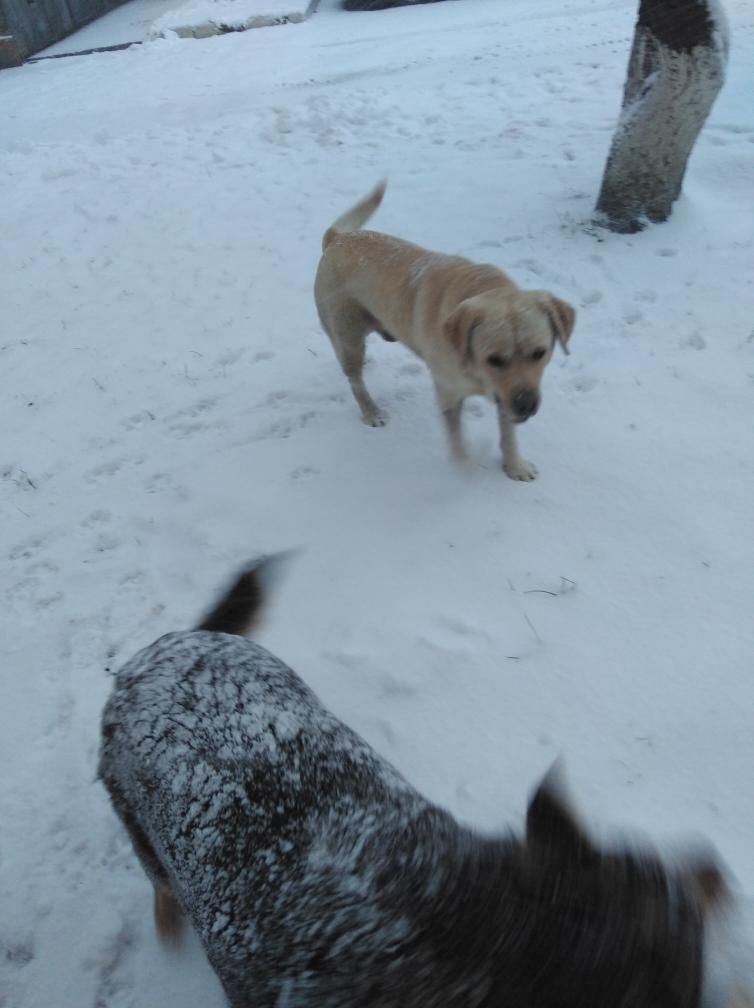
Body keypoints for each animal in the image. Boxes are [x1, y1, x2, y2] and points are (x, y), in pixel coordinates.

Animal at [314, 183, 572, 481]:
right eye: (494, 359)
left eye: (540, 353)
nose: (526, 405)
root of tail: (337, 238)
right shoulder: (449, 391)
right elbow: (457, 438)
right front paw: (466, 466)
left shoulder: (506, 394)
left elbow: (508, 433)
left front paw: (515, 465)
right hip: (348, 336)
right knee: (355, 380)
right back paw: (371, 411)